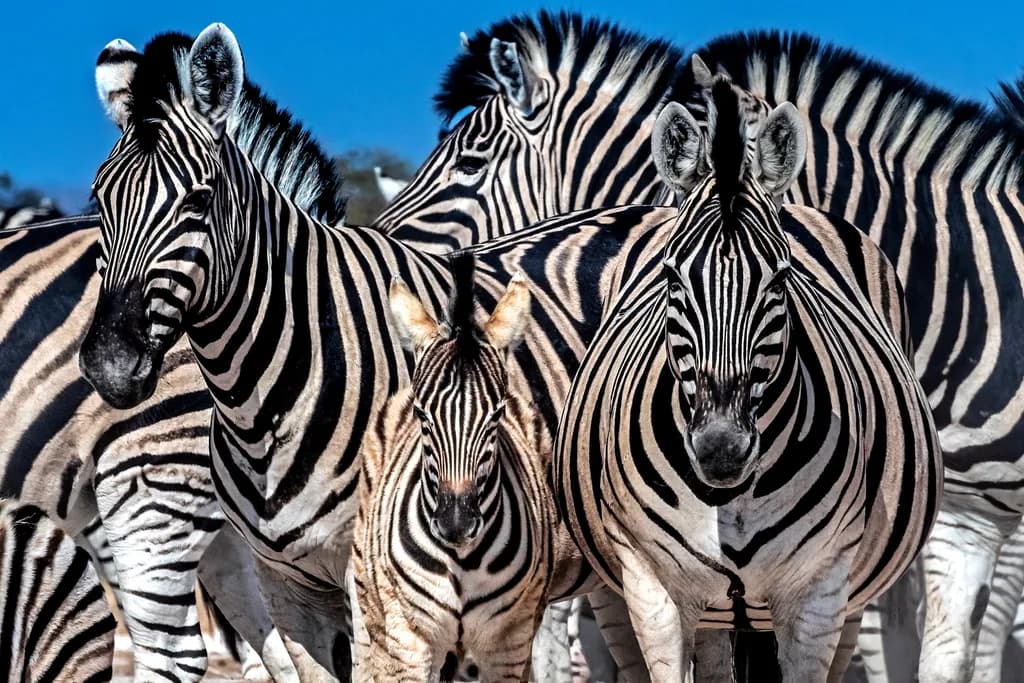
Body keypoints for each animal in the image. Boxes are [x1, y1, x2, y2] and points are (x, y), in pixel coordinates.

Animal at [355, 255, 570, 681]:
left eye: (496, 415)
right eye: (423, 415)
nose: (455, 525)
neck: (460, 561)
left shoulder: (508, 643)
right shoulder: (407, 640)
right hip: (376, 615)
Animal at [554, 76, 941, 681]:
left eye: (780, 280)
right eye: (671, 278)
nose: (721, 450)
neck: (729, 497)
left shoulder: (820, 592)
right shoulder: (651, 591)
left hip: (850, 597)